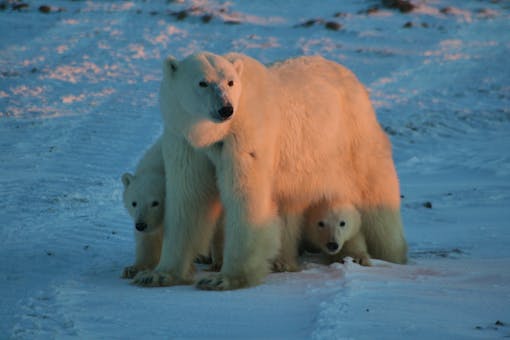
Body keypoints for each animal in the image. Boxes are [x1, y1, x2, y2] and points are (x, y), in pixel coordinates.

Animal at [133, 51, 408, 290]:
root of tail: (351, 77)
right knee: (290, 206)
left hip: (351, 137)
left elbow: (246, 198)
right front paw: (158, 274)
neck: (214, 134)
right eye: (202, 82)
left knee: (375, 192)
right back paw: (284, 260)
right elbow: (189, 198)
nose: (225, 108)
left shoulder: (246, 139)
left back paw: (390, 255)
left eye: (230, 82)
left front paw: (225, 279)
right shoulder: (186, 142)